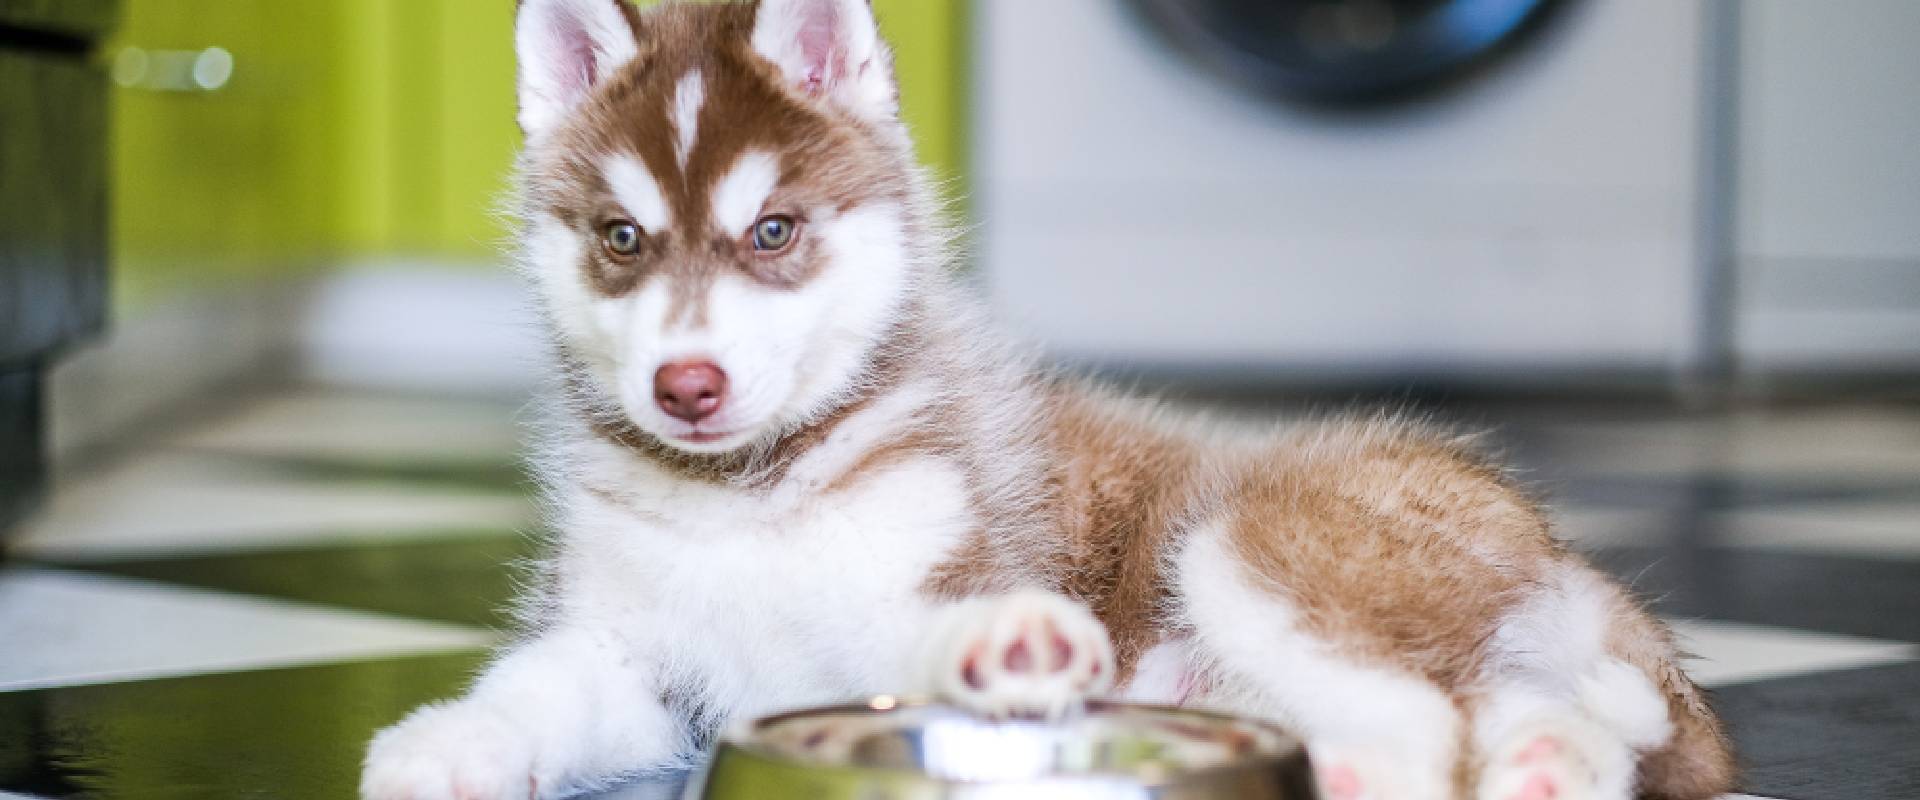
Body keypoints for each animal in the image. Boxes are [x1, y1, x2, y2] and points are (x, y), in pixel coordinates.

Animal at [360, 1, 1743, 798]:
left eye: (773, 231)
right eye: (621, 238)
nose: (685, 383)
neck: (751, 493)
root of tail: (1558, 542)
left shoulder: (924, 576)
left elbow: (939, 634)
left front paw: (1006, 649)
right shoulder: (633, 653)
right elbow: (537, 686)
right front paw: (439, 741)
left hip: (1262, 540)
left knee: (1421, 720)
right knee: (1519, 723)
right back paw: (1542, 765)